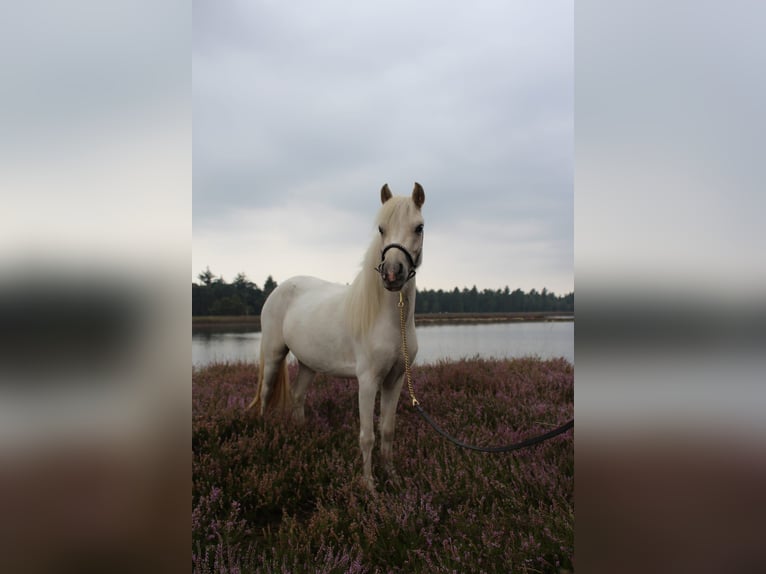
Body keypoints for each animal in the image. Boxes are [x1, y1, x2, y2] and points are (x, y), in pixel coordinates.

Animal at [249, 183, 426, 490]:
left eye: (419, 227)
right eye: (381, 228)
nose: (393, 274)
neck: (391, 321)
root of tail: (279, 288)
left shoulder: (394, 380)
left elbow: (387, 430)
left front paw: (392, 477)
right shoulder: (368, 381)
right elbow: (367, 435)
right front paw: (369, 486)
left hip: (308, 363)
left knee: (297, 395)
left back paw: (302, 434)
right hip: (273, 355)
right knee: (266, 392)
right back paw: (262, 433)